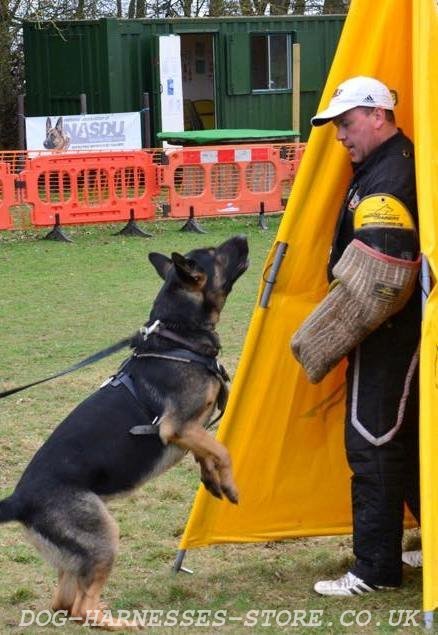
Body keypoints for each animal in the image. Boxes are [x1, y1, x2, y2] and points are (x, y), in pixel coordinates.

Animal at [0, 237, 248, 632]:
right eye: (216, 253)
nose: (242, 239)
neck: (178, 337)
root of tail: (18, 500)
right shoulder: (177, 426)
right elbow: (221, 450)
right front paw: (231, 486)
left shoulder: (190, 430)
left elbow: (207, 452)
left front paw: (213, 482)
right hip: (104, 537)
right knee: (82, 607)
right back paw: (120, 622)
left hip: (78, 554)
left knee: (63, 604)